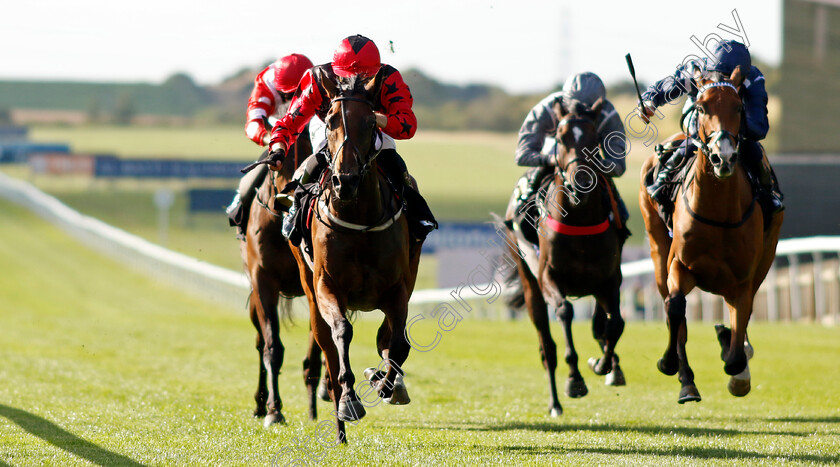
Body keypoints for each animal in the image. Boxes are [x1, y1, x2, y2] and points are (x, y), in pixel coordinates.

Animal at [240, 129, 328, 428]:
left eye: (309, 154)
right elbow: (272, 347)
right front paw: (273, 409)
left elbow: (315, 352)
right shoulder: (263, 281)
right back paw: (259, 403)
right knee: (259, 342)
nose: (287, 199)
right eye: (276, 163)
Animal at [290, 67, 424, 444]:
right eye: (331, 120)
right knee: (328, 350)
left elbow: (397, 343)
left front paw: (386, 383)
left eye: (368, 122)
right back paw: (339, 424)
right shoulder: (327, 286)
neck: (359, 216)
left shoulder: (398, 289)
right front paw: (350, 400)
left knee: (388, 340)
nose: (345, 181)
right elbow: (342, 333)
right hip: (310, 290)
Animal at [502, 96, 628, 416]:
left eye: (595, 138)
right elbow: (564, 312)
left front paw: (603, 365)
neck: (580, 221)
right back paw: (555, 403)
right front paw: (575, 380)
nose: (578, 183)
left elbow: (615, 324)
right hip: (529, 283)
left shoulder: (610, 279)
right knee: (547, 347)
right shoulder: (549, 277)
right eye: (560, 138)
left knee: (600, 325)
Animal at [640, 66, 784, 406]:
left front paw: (738, 371)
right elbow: (675, 308)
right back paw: (687, 382)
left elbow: (736, 344)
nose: (724, 157)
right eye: (702, 107)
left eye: (739, 108)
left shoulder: (743, 279)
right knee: (672, 309)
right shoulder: (680, 265)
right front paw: (670, 364)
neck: (719, 212)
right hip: (656, 249)